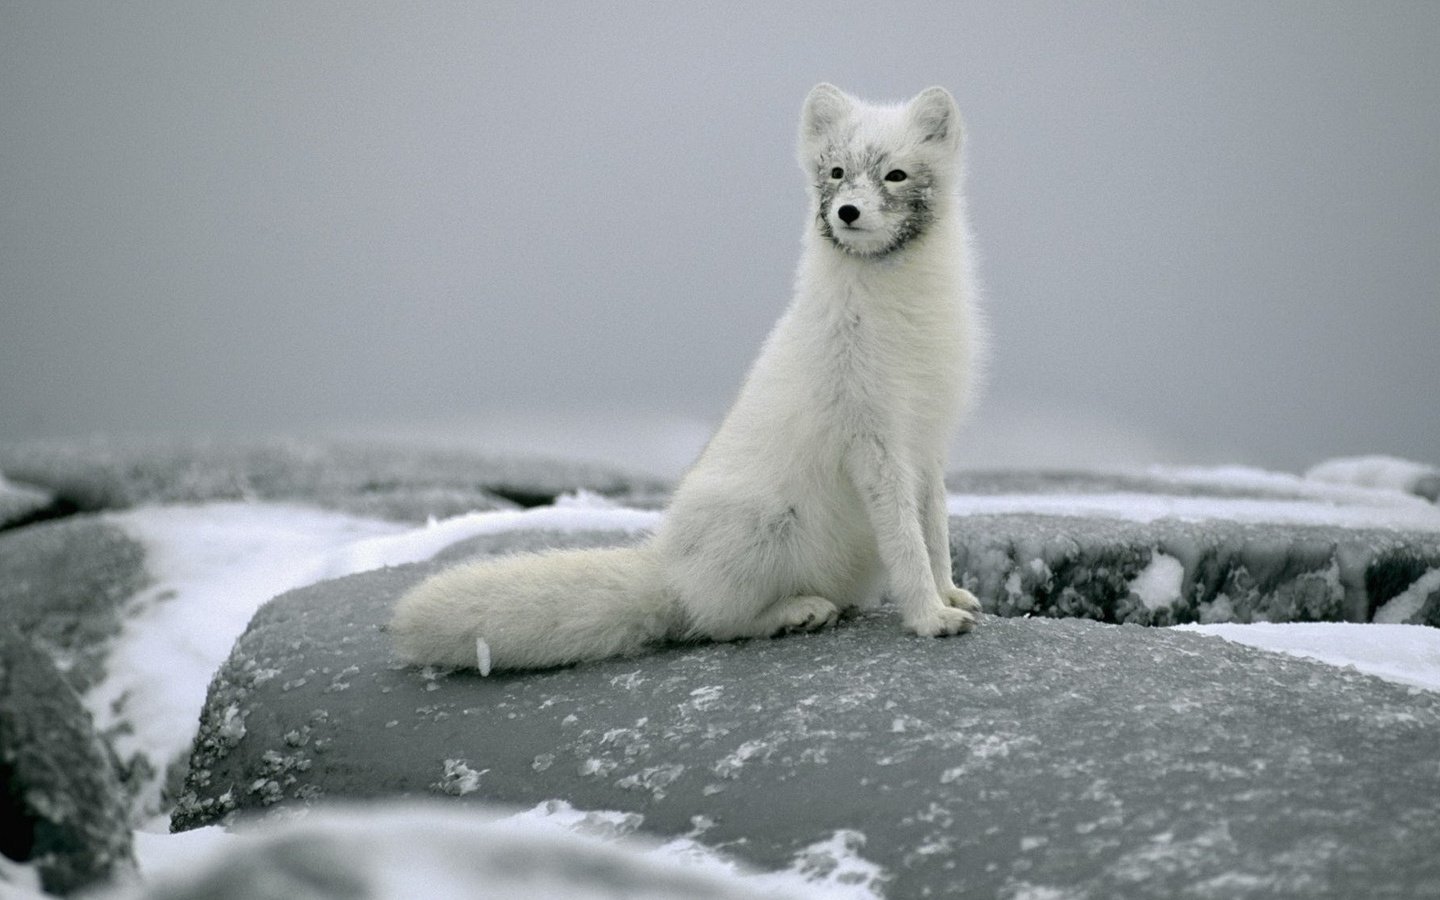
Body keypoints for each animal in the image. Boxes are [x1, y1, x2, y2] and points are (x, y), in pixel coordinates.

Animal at [388, 84, 984, 671]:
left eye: (896, 175)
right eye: (836, 171)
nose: (848, 211)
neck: (901, 314)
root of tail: (668, 568)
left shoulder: (927, 441)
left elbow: (935, 531)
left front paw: (949, 593)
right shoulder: (873, 441)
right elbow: (906, 541)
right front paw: (929, 616)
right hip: (763, 526)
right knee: (716, 622)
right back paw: (797, 611)